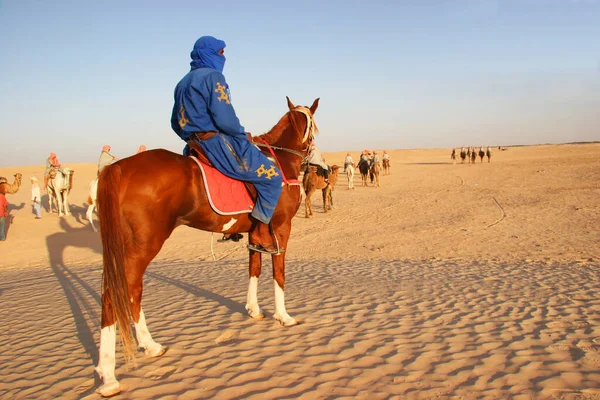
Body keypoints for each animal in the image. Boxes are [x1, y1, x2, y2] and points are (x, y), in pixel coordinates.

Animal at [95, 97, 318, 396]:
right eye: (314, 127)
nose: (314, 161)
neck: (282, 161)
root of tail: (119, 168)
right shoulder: (282, 228)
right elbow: (278, 273)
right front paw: (284, 316)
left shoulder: (256, 234)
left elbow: (254, 268)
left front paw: (254, 310)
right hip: (142, 248)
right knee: (120, 295)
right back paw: (114, 373)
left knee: (123, 294)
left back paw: (139, 351)